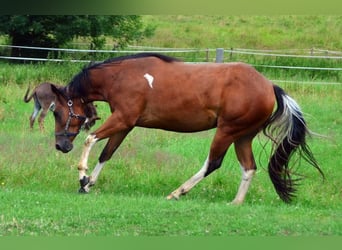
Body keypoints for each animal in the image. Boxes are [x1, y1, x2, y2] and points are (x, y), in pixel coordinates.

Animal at [50, 52, 324, 203]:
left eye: (56, 111)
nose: (60, 145)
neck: (121, 77)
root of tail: (268, 86)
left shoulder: (123, 119)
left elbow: (90, 140)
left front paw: (82, 176)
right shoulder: (126, 125)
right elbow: (107, 153)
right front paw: (88, 184)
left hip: (227, 131)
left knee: (213, 163)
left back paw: (177, 192)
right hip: (243, 136)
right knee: (249, 168)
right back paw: (235, 203)